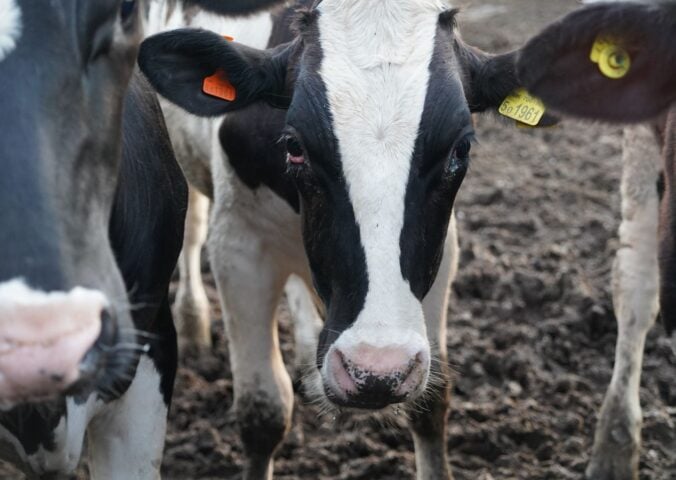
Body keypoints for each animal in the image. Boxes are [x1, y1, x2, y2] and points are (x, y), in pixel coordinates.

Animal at [139, 1, 556, 478]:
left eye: (461, 149)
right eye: (295, 146)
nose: (376, 371)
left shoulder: (442, 248)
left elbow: (431, 403)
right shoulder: (239, 245)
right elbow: (262, 412)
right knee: (191, 231)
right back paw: (193, 321)